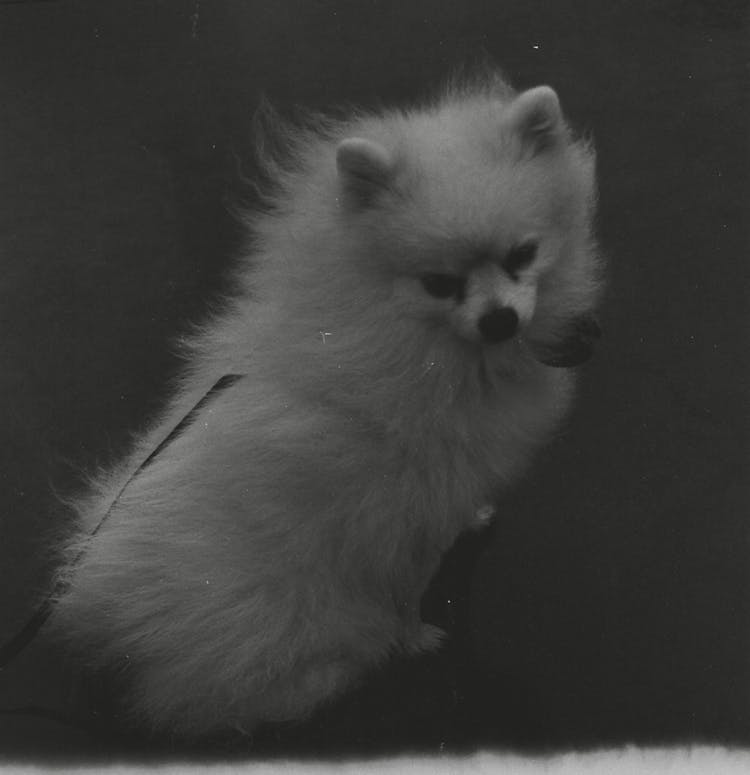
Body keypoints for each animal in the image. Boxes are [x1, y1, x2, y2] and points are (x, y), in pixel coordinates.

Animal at [51, 71, 604, 740]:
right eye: (440, 284)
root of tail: (100, 616)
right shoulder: (401, 520)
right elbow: (408, 591)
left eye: (523, 254)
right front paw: (414, 638)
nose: (499, 319)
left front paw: (473, 518)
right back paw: (342, 668)